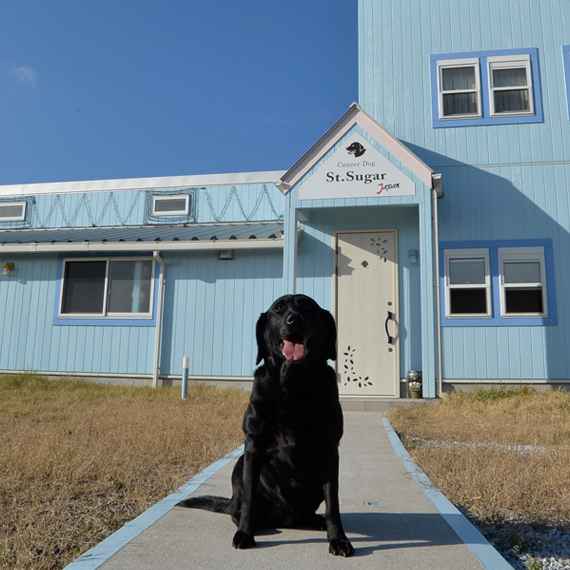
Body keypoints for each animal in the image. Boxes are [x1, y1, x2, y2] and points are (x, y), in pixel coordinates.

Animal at [178, 292, 352, 556]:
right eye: (279, 308)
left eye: (309, 307)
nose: (294, 319)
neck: (293, 385)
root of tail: (287, 517)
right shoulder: (253, 444)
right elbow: (250, 496)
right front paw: (245, 533)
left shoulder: (329, 450)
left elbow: (333, 502)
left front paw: (338, 539)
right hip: (239, 465)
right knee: (238, 506)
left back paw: (315, 520)